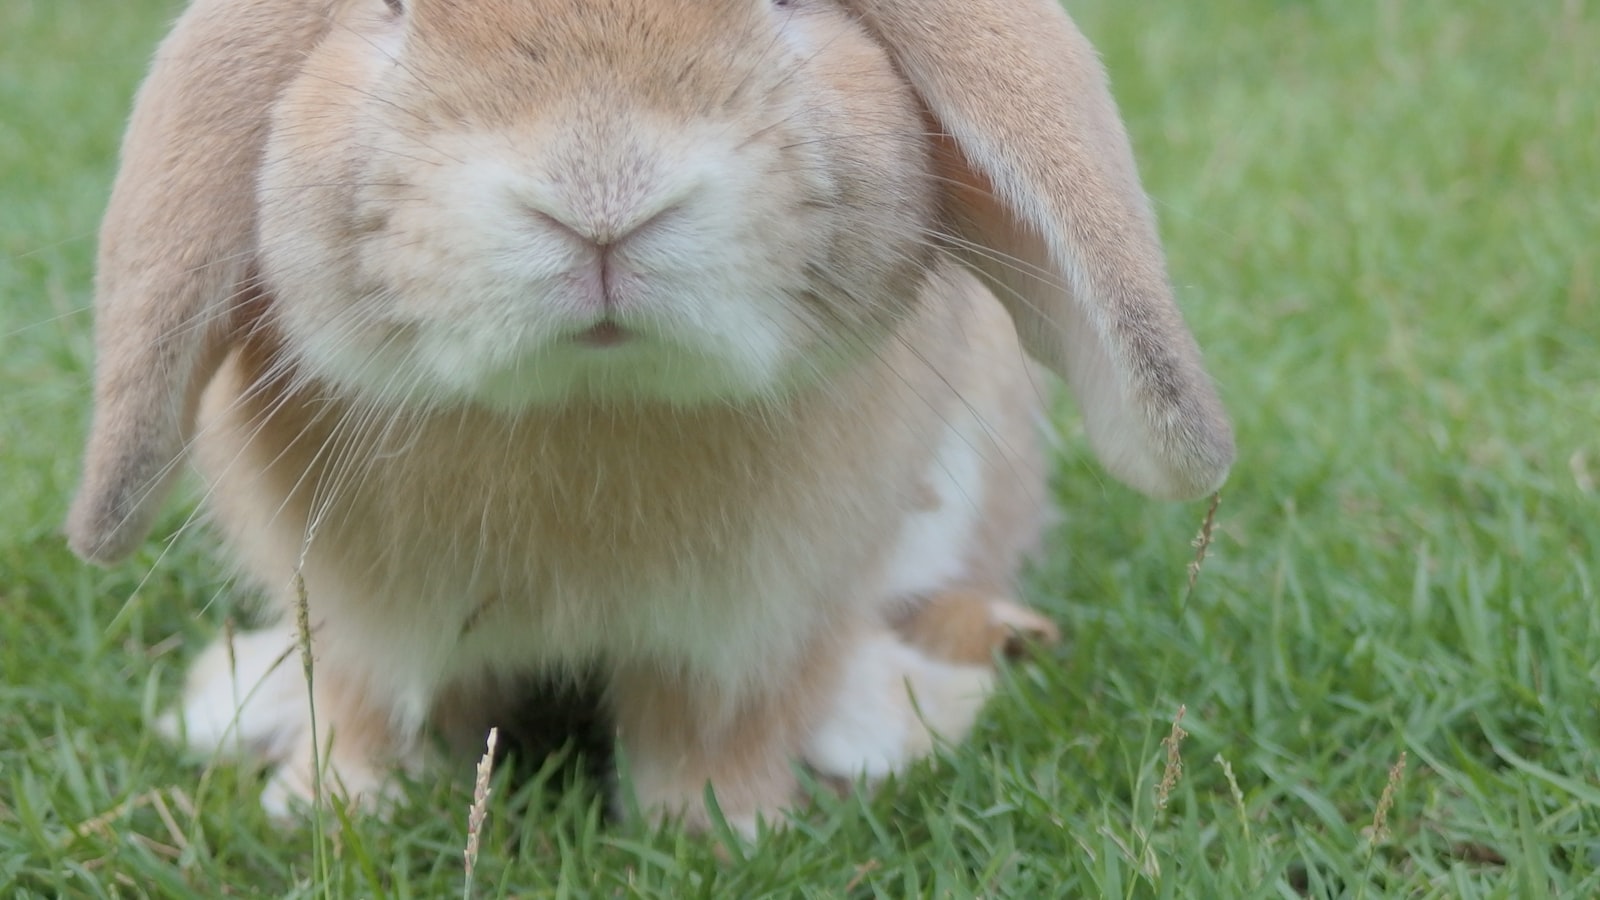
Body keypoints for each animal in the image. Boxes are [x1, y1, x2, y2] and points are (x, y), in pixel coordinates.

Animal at [66, 0, 1233, 834]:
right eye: (388, 5)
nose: (600, 194)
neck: (587, 402)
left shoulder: (756, 628)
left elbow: (714, 728)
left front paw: (719, 832)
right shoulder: (355, 621)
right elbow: (367, 708)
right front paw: (332, 808)